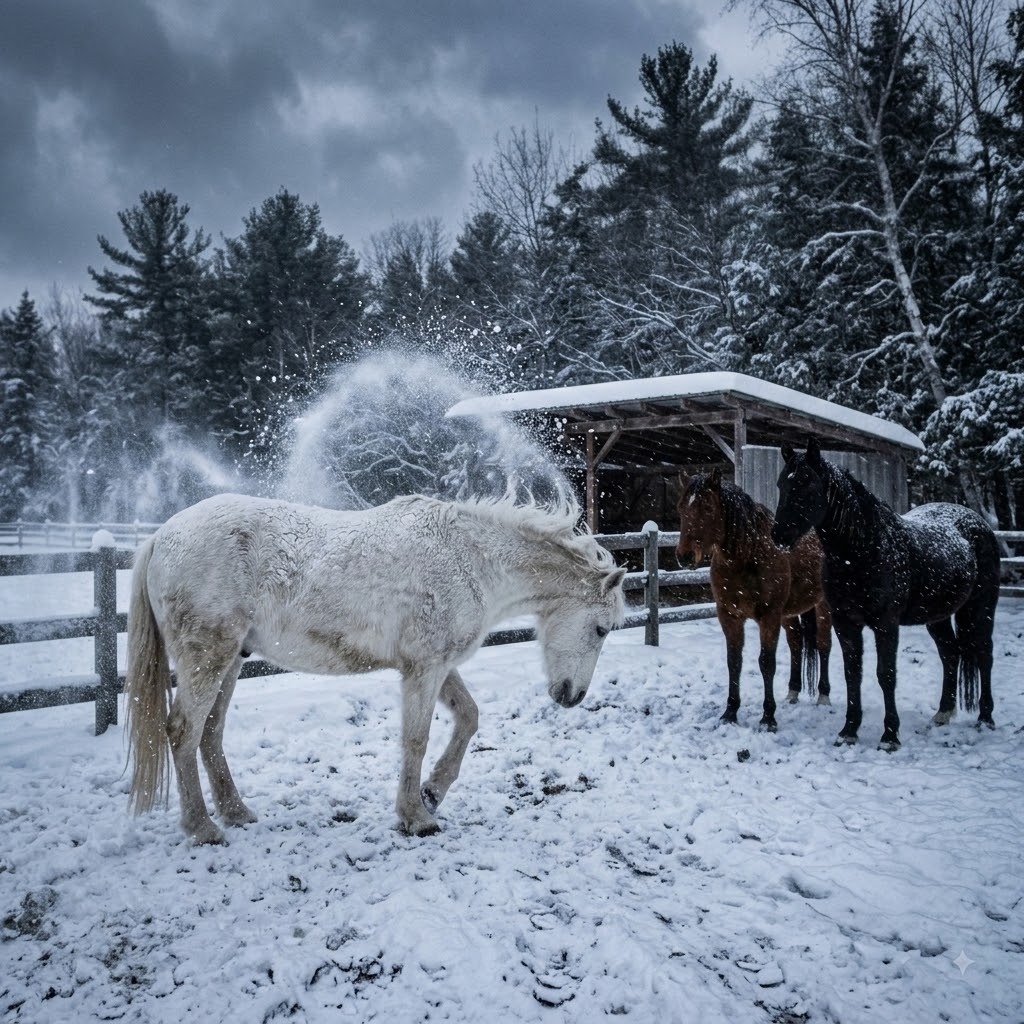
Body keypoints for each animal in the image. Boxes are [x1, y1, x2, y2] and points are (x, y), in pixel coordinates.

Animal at [125, 492, 626, 845]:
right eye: (601, 629)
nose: (572, 696)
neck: (472, 562)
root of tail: (161, 537)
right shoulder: (424, 669)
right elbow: (416, 740)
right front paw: (416, 817)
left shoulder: (437, 665)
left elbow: (468, 717)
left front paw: (432, 792)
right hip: (207, 658)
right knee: (183, 731)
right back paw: (203, 828)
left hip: (230, 661)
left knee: (210, 734)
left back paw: (235, 812)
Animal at [676, 469, 832, 730]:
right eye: (680, 508)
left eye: (707, 507)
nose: (684, 556)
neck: (748, 556)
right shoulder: (729, 615)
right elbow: (734, 661)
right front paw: (730, 712)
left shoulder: (769, 616)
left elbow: (766, 662)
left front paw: (768, 717)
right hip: (789, 614)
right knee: (796, 643)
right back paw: (792, 692)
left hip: (823, 607)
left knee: (823, 645)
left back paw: (823, 696)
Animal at [772, 438, 1001, 750]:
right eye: (782, 484)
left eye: (807, 485)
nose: (778, 535)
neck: (863, 550)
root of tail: (978, 523)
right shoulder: (845, 622)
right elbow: (852, 673)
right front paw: (849, 730)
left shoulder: (886, 624)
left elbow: (886, 675)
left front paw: (890, 736)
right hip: (938, 617)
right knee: (950, 654)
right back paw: (943, 713)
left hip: (981, 609)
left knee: (984, 653)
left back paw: (985, 718)